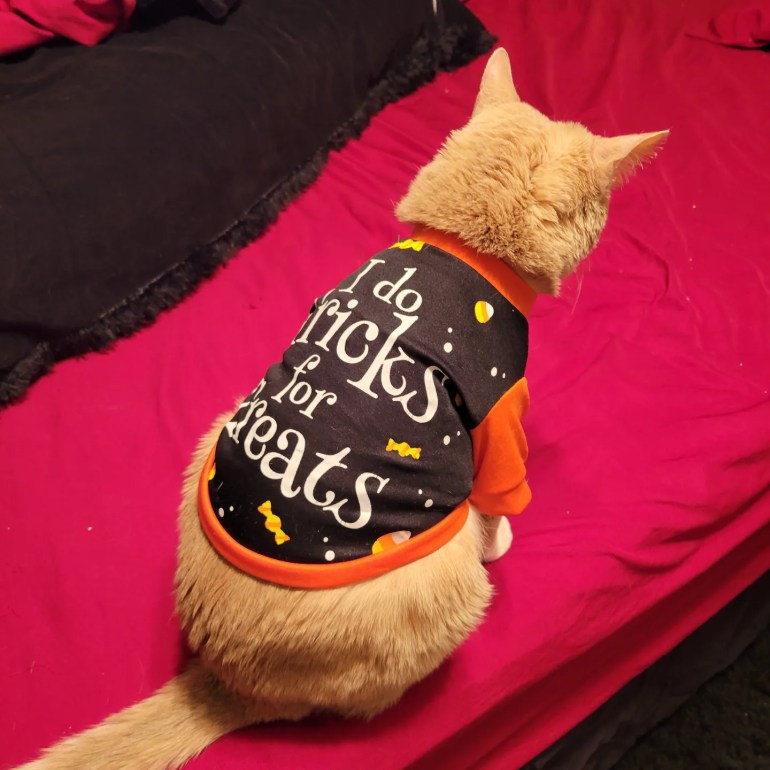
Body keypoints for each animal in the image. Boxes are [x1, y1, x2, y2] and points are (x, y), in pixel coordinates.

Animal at [16, 48, 667, 770]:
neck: (463, 243)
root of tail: (224, 679)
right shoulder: (498, 420)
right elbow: (502, 498)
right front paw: (501, 539)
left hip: (213, 436)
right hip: (442, 581)